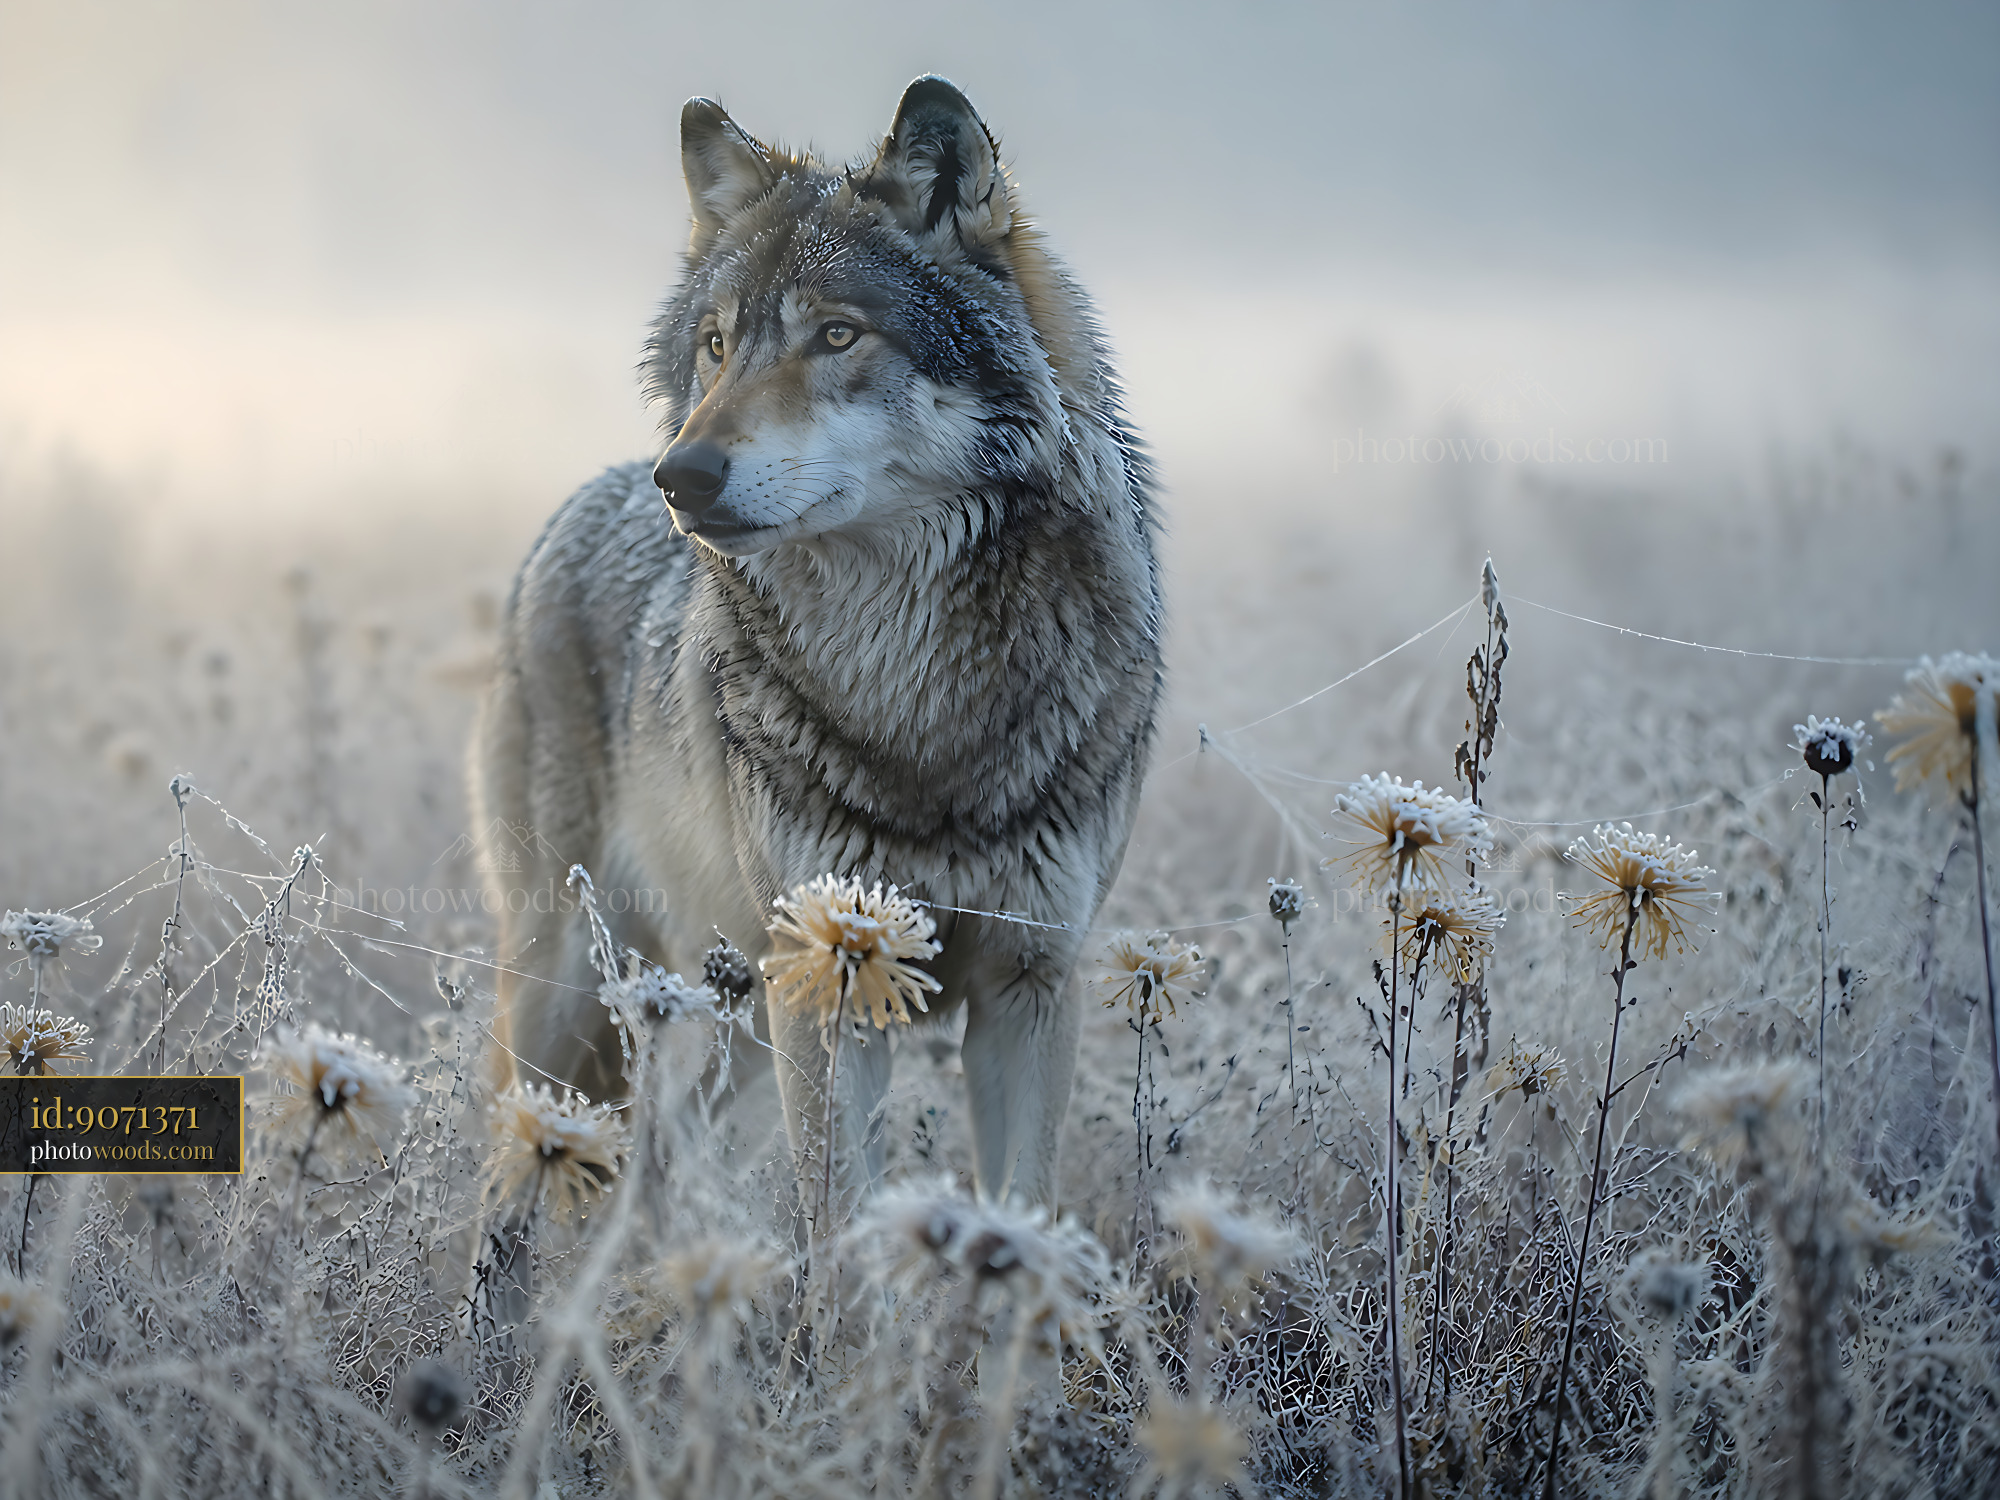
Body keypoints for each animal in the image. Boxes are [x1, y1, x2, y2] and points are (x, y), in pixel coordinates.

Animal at [473, 76, 1161, 1212]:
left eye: (836, 336)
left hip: (739, 1016)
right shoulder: (831, 981)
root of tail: (563, 518)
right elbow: (835, 1229)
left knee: (661, 1152)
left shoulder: (1029, 984)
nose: (681, 478)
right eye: (715, 344)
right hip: (578, 988)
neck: (914, 688)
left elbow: (1018, 1215)